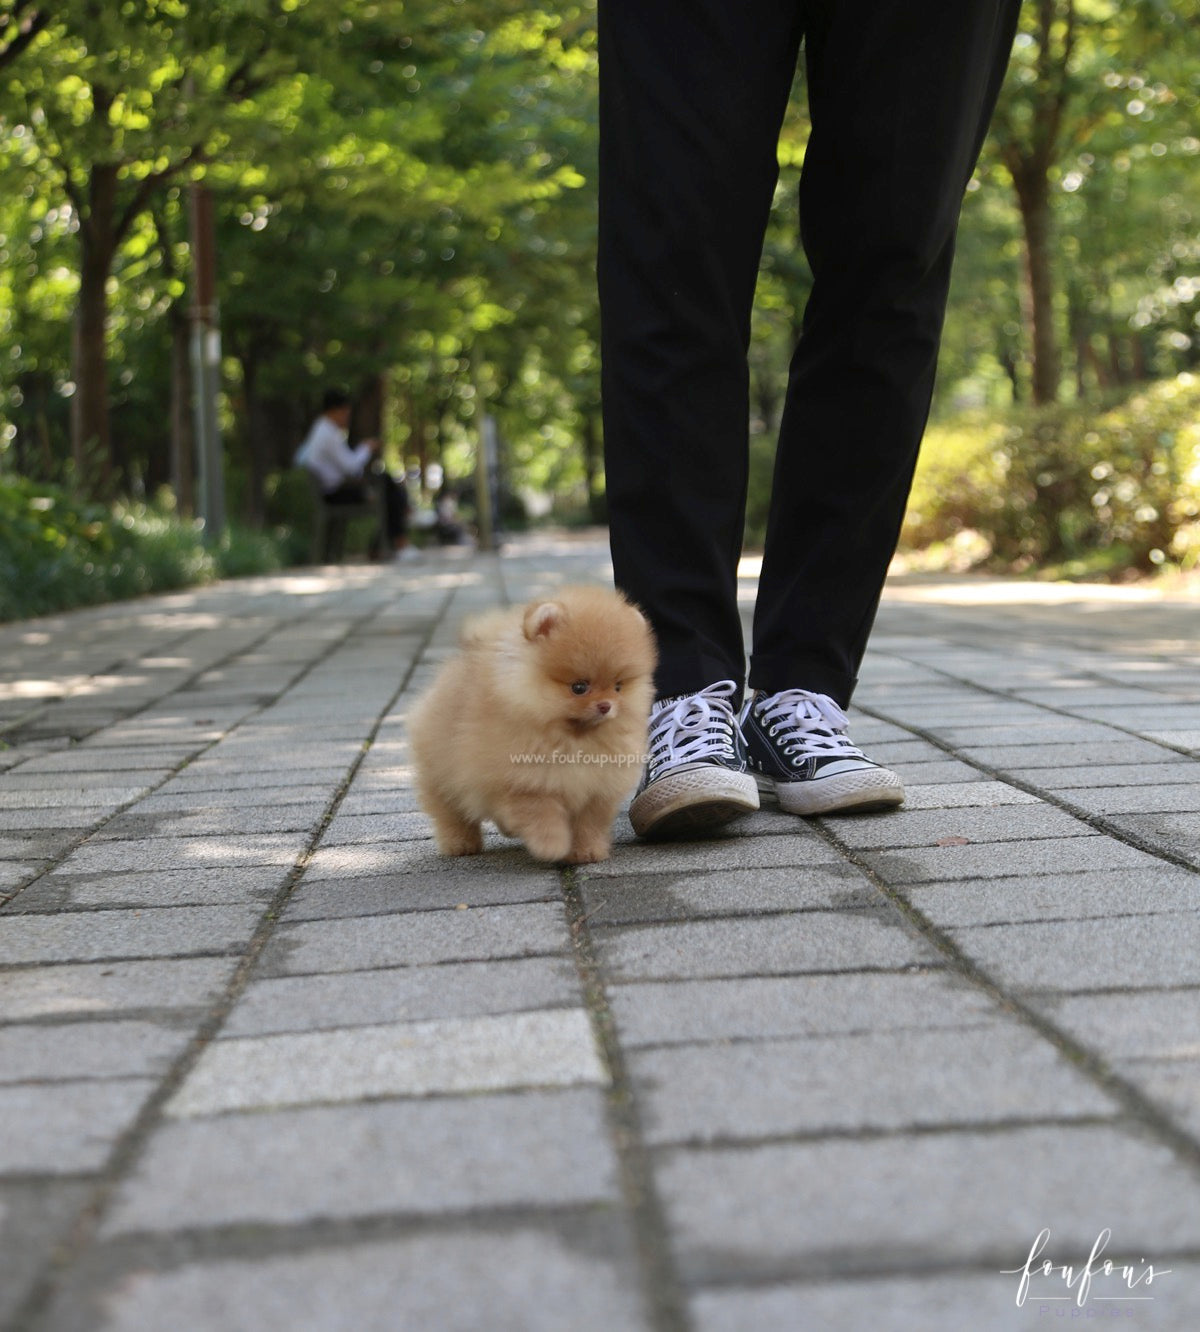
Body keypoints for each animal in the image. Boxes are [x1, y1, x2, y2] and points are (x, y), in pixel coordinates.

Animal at [410, 586, 655, 863]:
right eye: (579, 687)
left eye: (618, 687)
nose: (606, 706)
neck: (574, 740)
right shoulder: (524, 782)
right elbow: (540, 814)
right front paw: (553, 847)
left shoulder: (596, 792)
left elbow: (588, 824)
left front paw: (586, 852)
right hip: (442, 773)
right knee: (450, 812)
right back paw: (460, 844)